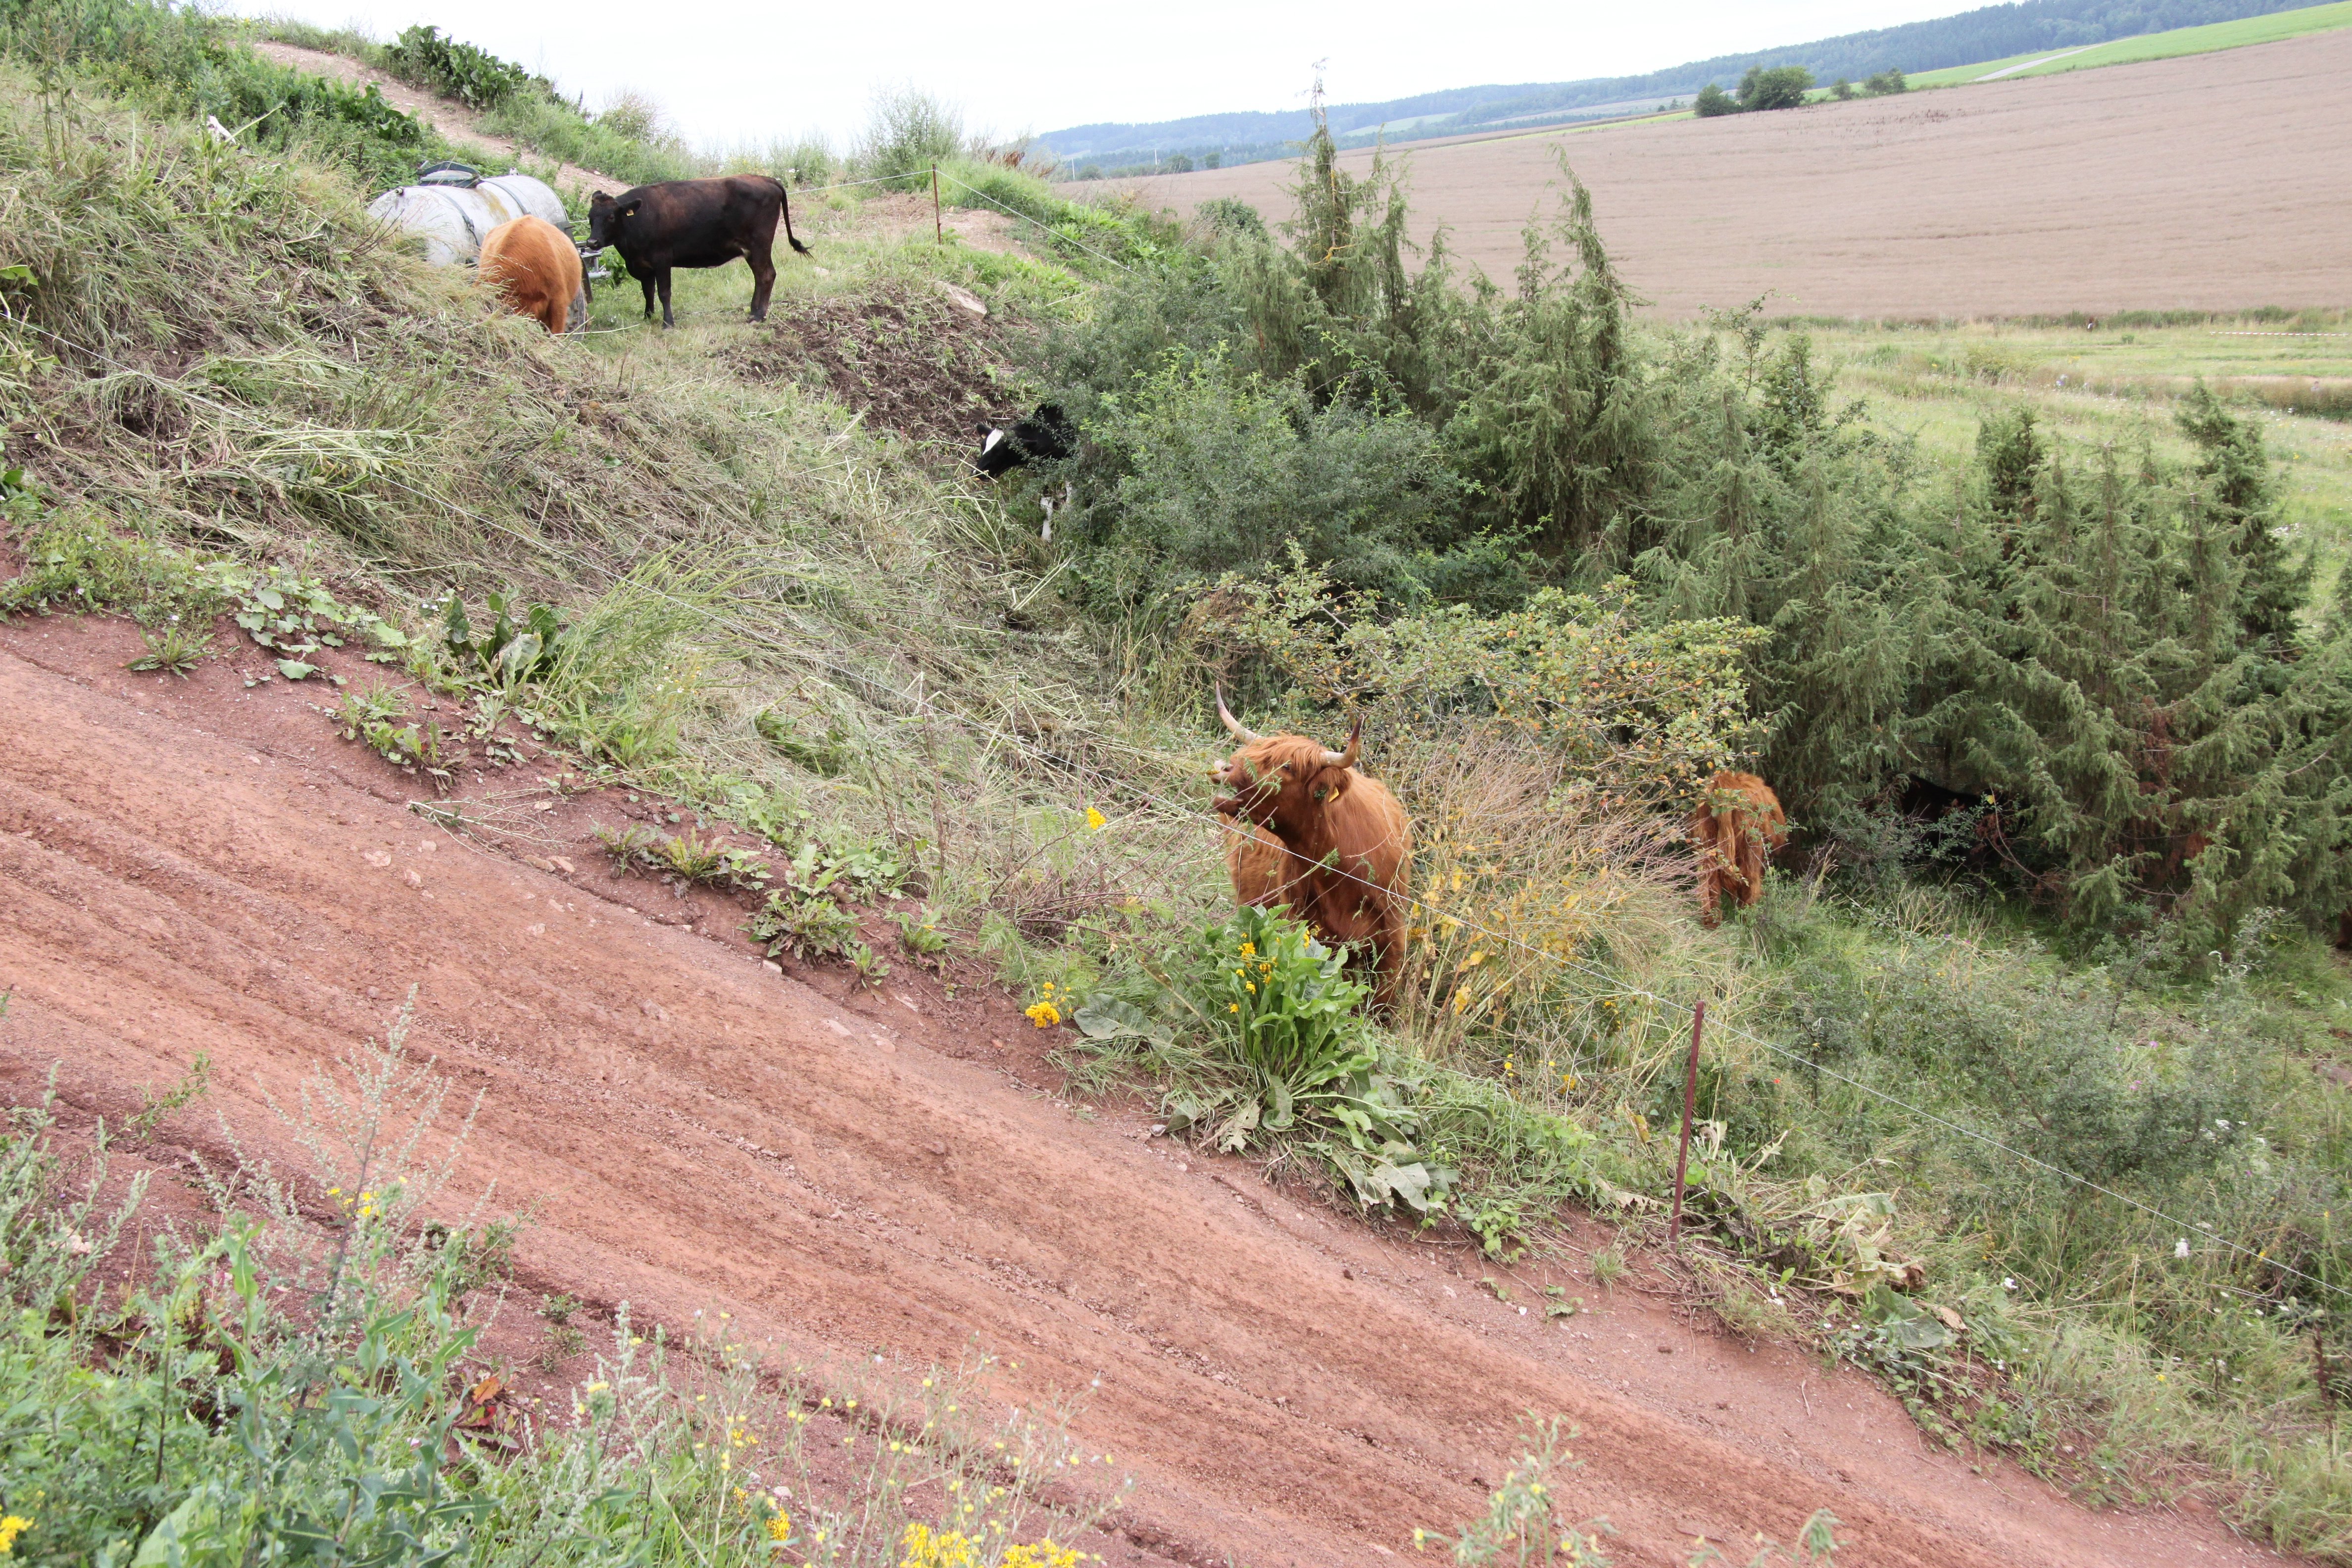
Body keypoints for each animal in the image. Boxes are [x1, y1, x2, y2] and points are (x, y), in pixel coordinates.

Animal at [584, 175, 811, 329]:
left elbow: (664, 292)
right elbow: (648, 291)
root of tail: (765, 179)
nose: (592, 242)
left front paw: (668, 323)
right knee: (759, 276)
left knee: (767, 275)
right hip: (751, 250)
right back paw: (753, 311)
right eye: (590, 217)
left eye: (611, 217)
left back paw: (758, 316)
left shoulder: (662, 259)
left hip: (760, 244)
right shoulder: (642, 265)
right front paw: (648, 317)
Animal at [1210, 690, 1413, 1005]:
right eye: (1252, 753)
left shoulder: (1391, 942)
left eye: (1288, 766)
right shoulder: (1300, 931)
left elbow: (1382, 1005)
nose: (1223, 770)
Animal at [1691, 771, 1787, 928]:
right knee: (1750, 879)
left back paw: (1711, 920)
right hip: (1751, 844)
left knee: (1709, 878)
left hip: (1705, 839)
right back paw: (1748, 919)